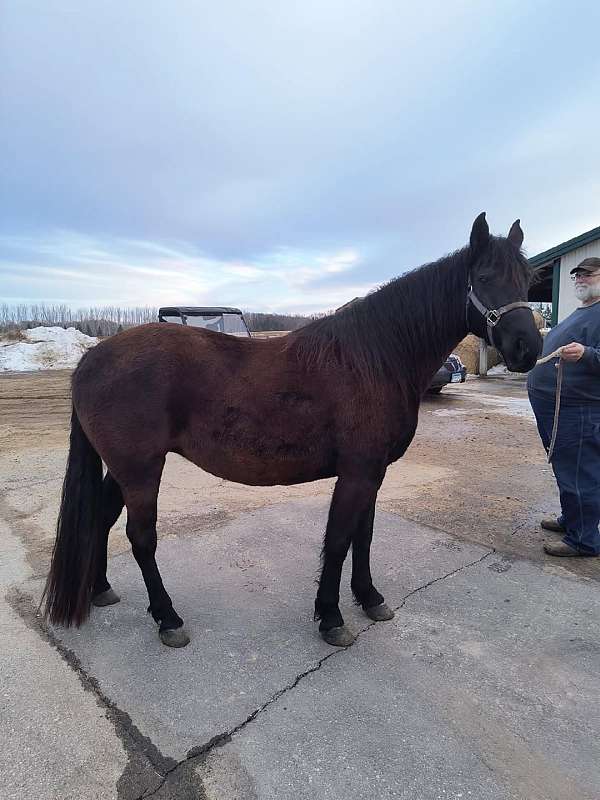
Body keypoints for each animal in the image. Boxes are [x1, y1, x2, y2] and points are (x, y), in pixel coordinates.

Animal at [43, 213, 542, 648]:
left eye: (526, 278)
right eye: (484, 277)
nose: (527, 348)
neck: (375, 358)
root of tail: (91, 359)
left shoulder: (374, 473)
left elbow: (363, 537)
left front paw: (370, 598)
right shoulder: (357, 473)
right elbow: (338, 540)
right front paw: (332, 617)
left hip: (124, 468)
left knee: (101, 517)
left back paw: (100, 590)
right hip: (141, 470)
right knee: (141, 538)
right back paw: (168, 620)